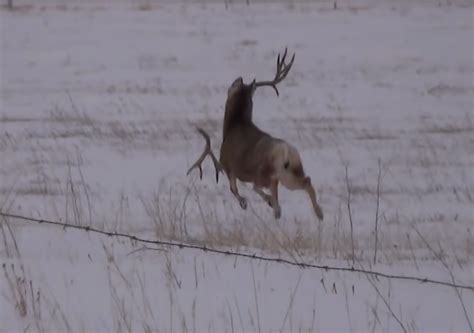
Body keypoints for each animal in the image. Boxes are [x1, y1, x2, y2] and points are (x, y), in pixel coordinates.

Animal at [187, 48, 324, 220]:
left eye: (231, 86)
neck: (233, 126)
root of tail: (286, 152)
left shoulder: (228, 165)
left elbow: (234, 189)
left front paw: (245, 203)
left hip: (267, 171)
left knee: (260, 187)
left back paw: (278, 206)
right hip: (290, 172)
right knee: (306, 181)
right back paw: (317, 213)